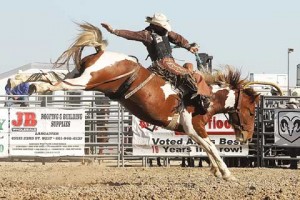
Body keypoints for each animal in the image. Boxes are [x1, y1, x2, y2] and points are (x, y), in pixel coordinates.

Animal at [11, 22, 276, 181]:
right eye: (251, 111)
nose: (246, 136)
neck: (207, 96)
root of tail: (100, 52)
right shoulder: (194, 126)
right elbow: (212, 147)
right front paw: (227, 173)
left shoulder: (189, 131)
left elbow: (205, 148)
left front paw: (216, 170)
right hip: (87, 81)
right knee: (57, 84)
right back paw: (33, 86)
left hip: (80, 76)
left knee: (53, 77)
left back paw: (20, 80)